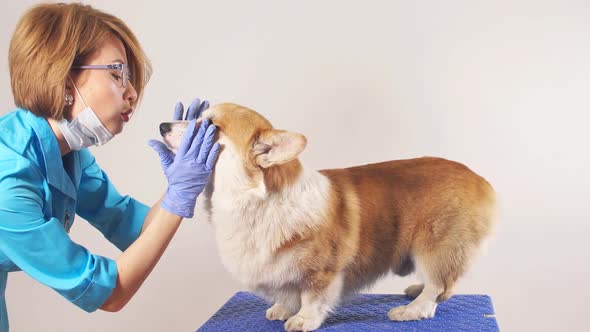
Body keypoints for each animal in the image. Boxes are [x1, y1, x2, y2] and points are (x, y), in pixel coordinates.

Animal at [160, 102, 498, 330]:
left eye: (209, 124)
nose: (162, 125)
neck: (255, 198)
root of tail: (480, 180)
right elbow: (288, 292)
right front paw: (283, 308)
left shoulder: (322, 270)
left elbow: (313, 296)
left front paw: (303, 319)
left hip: (435, 245)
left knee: (438, 285)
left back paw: (413, 309)